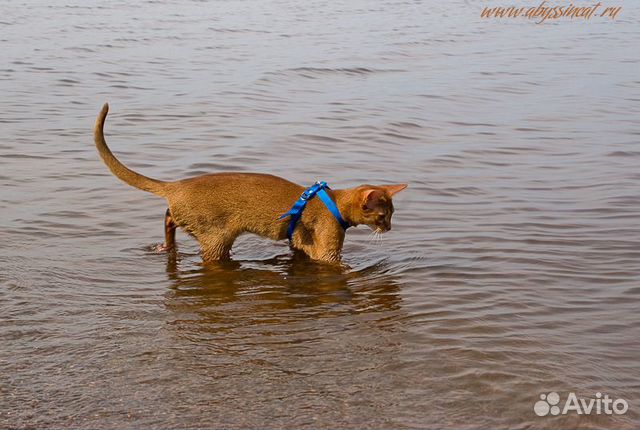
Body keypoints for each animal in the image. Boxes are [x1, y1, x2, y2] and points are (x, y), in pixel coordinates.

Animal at [93, 104, 408, 262]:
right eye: (383, 216)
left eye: (392, 215)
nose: (390, 228)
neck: (333, 202)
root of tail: (178, 184)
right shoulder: (326, 252)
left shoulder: (299, 243)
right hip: (216, 238)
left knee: (169, 217)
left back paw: (165, 246)